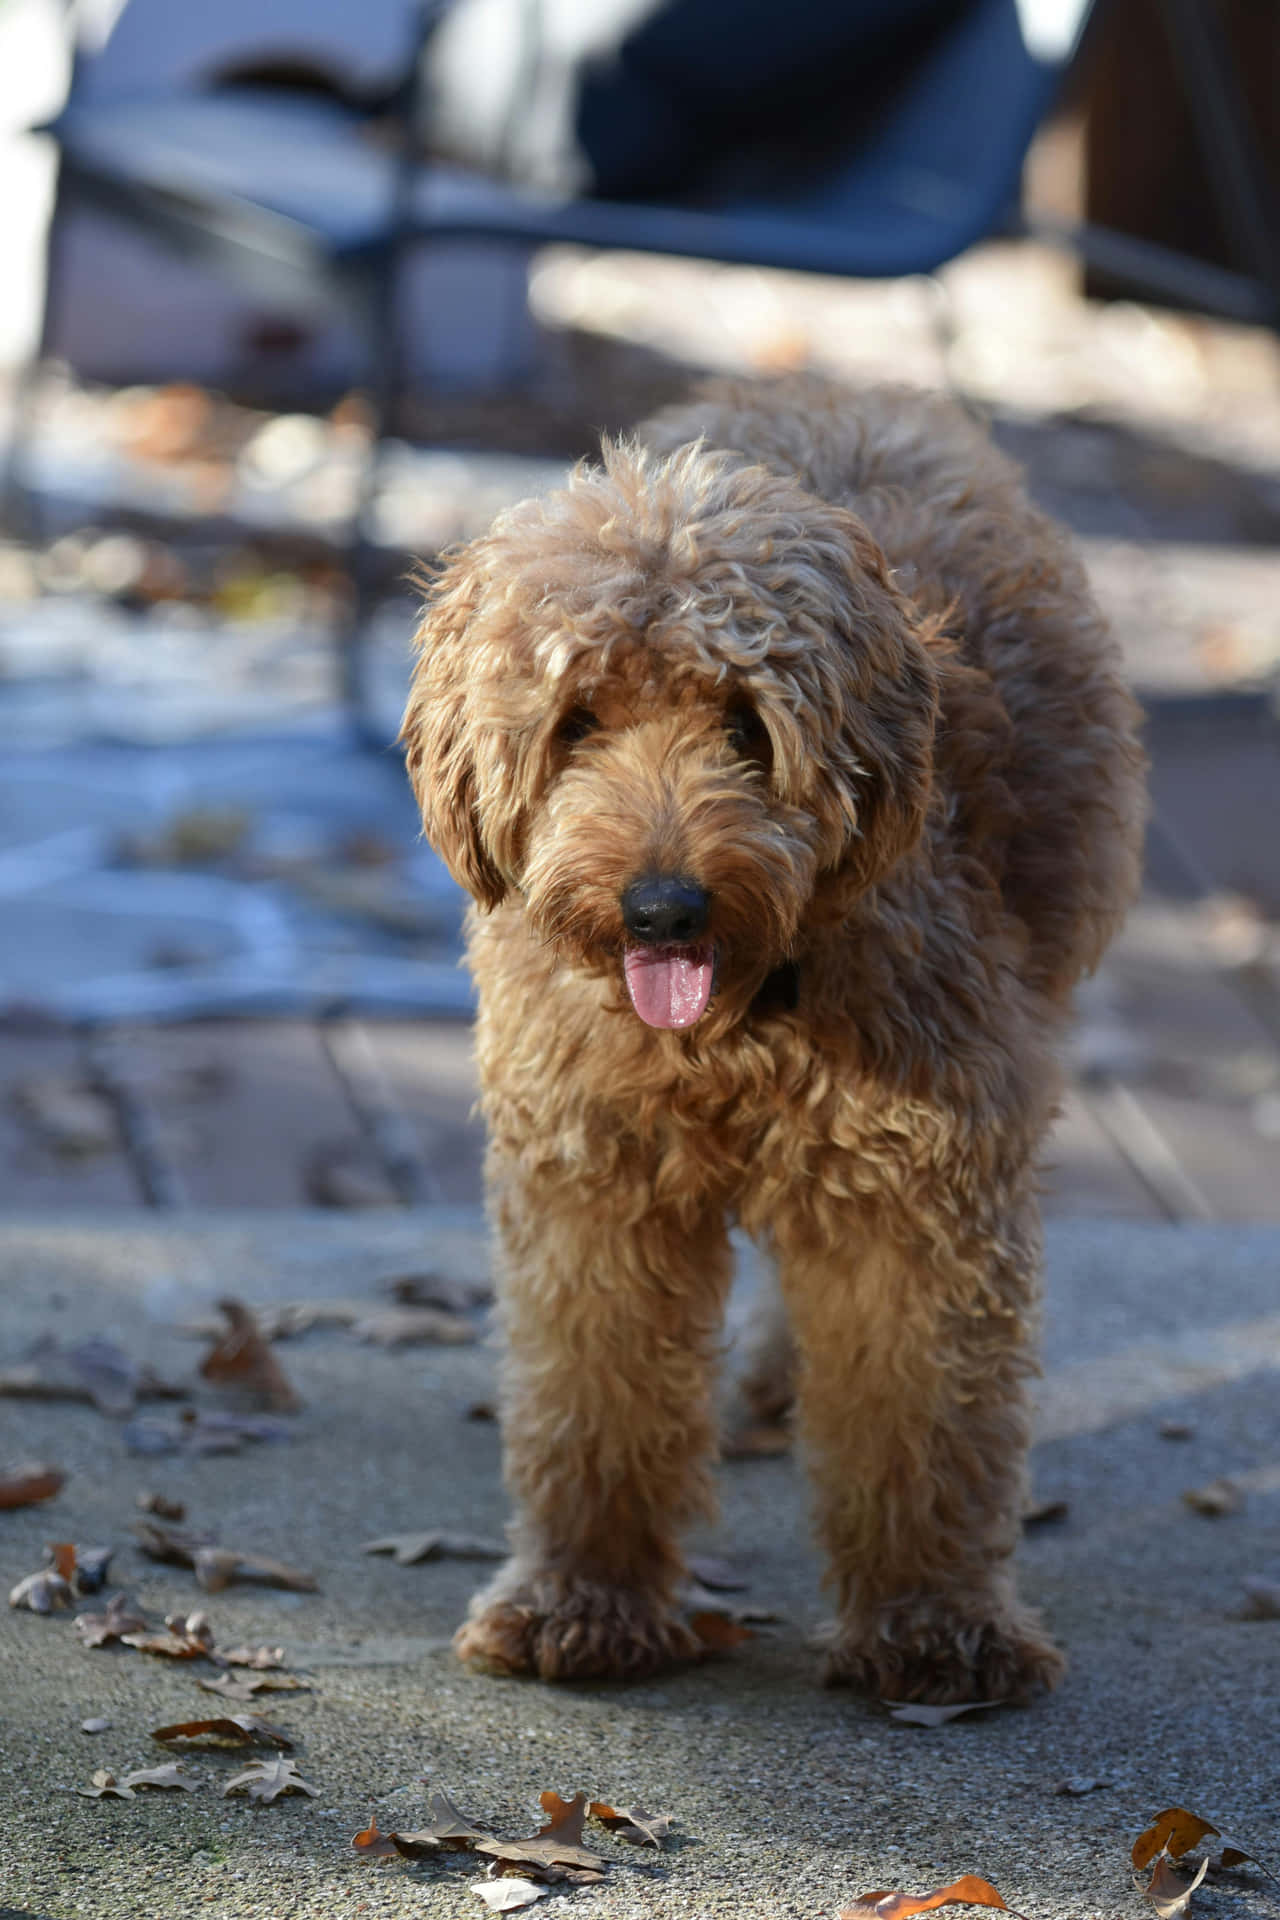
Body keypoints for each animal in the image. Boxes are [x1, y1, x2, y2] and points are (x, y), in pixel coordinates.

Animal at [397, 370, 1143, 1697]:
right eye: (576, 719)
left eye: (745, 721)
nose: (662, 907)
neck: (734, 1023)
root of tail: (834, 382)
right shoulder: (594, 1184)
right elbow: (592, 1400)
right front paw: (580, 1603)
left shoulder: (914, 1192)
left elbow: (919, 1419)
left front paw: (930, 1624)